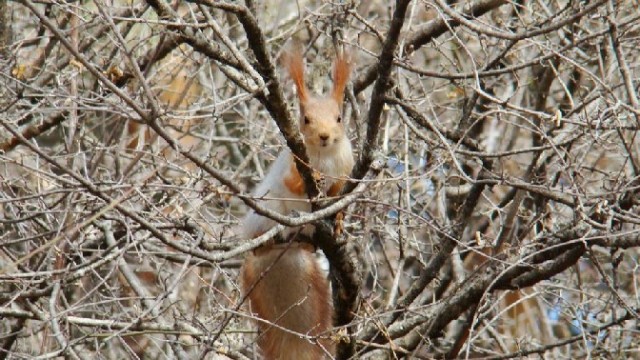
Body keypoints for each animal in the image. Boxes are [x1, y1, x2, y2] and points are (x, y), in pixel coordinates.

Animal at [240, 50, 356, 360]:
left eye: (339, 118)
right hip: (266, 217)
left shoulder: (345, 169)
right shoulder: (292, 167)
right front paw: (313, 178)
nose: (325, 136)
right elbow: (294, 183)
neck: (325, 156)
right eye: (305, 119)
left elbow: (339, 197)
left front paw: (338, 221)